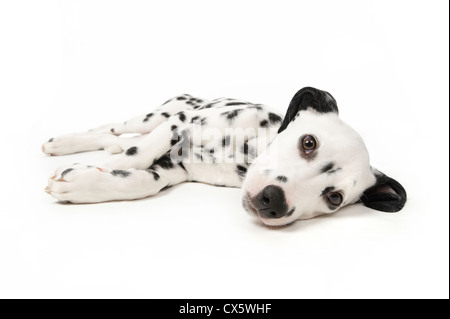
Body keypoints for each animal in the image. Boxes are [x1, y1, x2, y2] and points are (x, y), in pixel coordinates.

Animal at [44, 87, 406, 228]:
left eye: (334, 198)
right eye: (308, 143)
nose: (273, 202)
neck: (243, 153)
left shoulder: (172, 169)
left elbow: (138, 182)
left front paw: (83, 183)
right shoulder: (182, 124)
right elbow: (139, 153)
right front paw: (91, 168)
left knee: (116, 138)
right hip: (155, 116)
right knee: (113, 128)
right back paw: (62, 143)